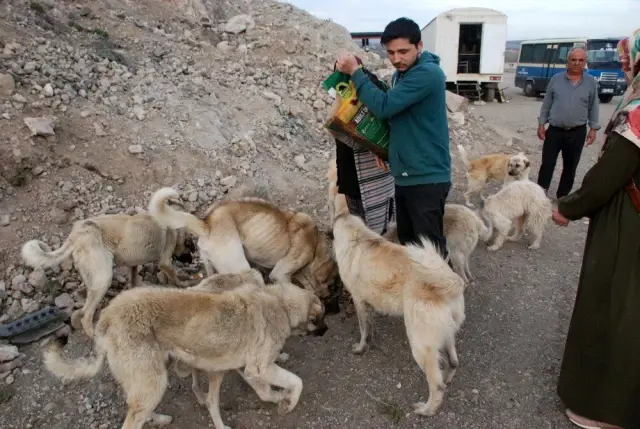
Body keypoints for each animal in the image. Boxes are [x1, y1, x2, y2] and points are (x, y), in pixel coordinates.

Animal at [21, 206, 191, 340]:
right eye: (189, 244)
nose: (191, 257)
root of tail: (80, 230)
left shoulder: (133, 265)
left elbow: (134, 280)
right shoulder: (165, 261)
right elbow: (173, 274)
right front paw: (183, 283)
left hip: (94, 278)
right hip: (103, 278)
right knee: (87, 314)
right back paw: (93, 335)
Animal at [42, 280, 328, 428]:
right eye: (323, 317)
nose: (327, 330)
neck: (280, 303)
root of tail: (107, 316)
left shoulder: (243, 368)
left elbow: (264, 391)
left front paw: (278, 398)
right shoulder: (259, 367)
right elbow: (296, 382)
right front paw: (288, 402)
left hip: (148, 379)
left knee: (135, 404)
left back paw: (158, 417)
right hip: (154, 379)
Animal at [149, 186, 340, 300]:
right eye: (331, 284)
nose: (328, 296)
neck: (315, 246)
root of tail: (207, 224)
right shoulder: (281, 273)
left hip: (211, 267)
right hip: (242, 268)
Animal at [330, 196, 464, 416]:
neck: (349, 223)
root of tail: (449, 282)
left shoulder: (359, 301)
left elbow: (364, 331)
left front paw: (361, 348)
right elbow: (370, 327)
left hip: (420, 346)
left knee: (436, 386)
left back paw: (426, 410)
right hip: (446, 334)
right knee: (453, 362)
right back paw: (447, 377)